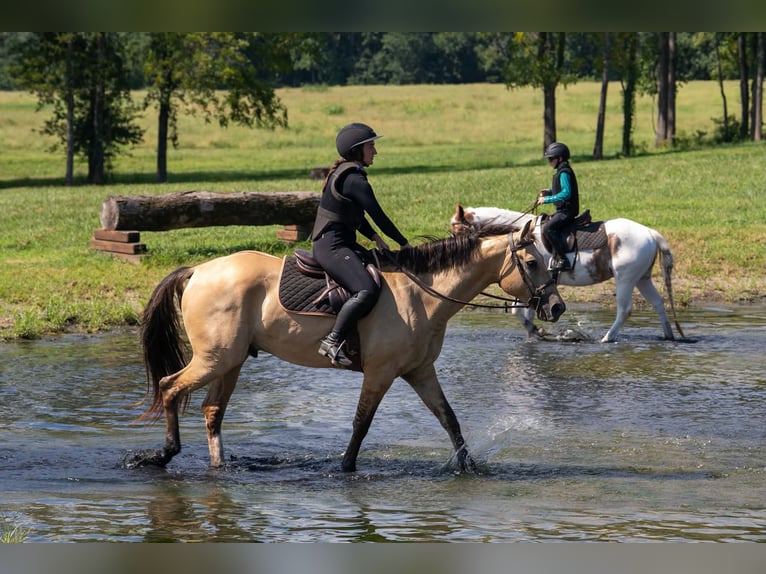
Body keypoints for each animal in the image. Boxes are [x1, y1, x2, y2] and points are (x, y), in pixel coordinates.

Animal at [128, 221, 565, 473]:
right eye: (531, 263)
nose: (557, 307)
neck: (422, 295)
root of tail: (198, 270)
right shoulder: (380, 373)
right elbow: (361, 423)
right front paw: (345, 469)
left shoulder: (420, 371)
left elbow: (450, 420)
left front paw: (470, 468)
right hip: (213, 359)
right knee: (170, 388)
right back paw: (162, 455)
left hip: (230, 362)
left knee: (212, 411)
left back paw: (220, 468)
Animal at [451, 204, 685, 343]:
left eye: (456, 231)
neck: (523, 237)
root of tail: (650, 233)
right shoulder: (532, 286)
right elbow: (525, 311)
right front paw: (533, 333)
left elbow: (518, 311)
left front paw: (536, 331)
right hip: (642, 279)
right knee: (658, 303)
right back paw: (669, 335)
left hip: (625, 279)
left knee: (624, 310)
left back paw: (607, 338)